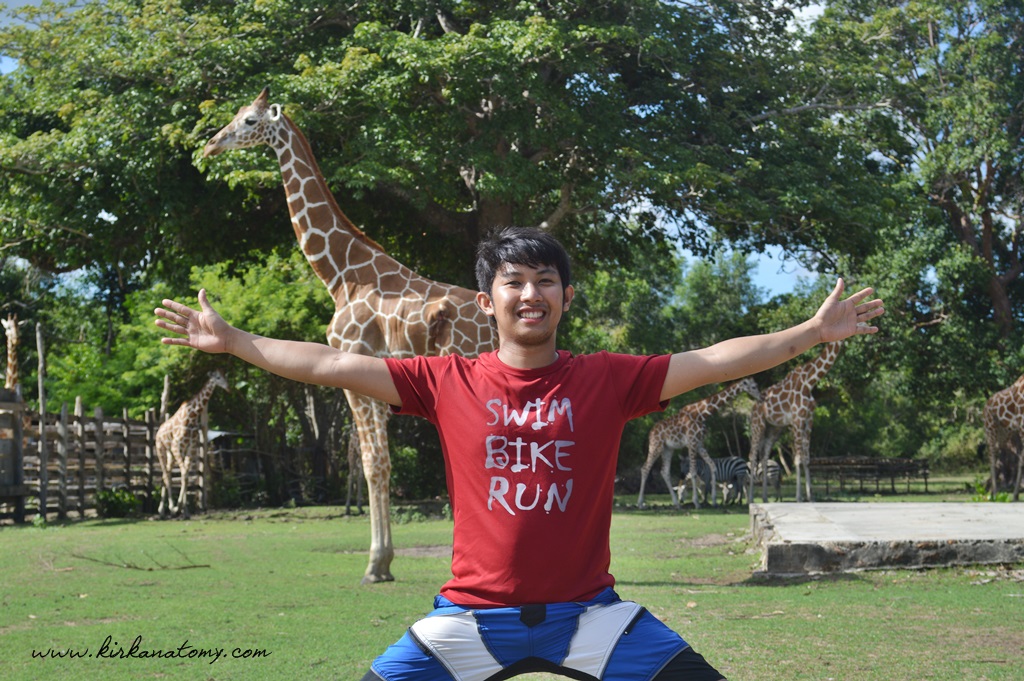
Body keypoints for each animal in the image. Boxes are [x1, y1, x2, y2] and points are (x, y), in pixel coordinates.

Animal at [155, 369, 230, 518]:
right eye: (218, 377)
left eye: (225, 376)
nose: (228, 387)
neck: (193, 416)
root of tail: (158, 431)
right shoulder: (177, 446)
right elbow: (184, 473)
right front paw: (178, 508)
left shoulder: (190, 447)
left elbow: (186, 475)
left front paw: (185, 510)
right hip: (161, 449)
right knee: (166, 475)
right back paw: (166, 509)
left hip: (170, 454)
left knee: (167, 474)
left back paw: (163, 511)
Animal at [202, 88, 497, 583]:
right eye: (236, 115)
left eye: (248, 121)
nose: (211, 145)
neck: (340, 274)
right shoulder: (377, 378)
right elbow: (381, 463)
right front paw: (386, 561)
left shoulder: (353, 367)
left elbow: (372, 463)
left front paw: (375, 565)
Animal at [637, 377, 761, 509]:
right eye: (753, 387)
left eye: (756, 385)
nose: (761, 397)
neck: (701, 414)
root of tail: (651, 433)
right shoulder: (692, 442)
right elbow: (693, 471)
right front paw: (696, 502)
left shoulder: (700, 444)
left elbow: (712, 466)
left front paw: (714, 501)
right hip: (656, 445)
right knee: (645, 468)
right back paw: (640, 504)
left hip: (668, 449)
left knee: (664, 472)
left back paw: (677, 504)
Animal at [748, 341, 842, 503]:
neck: (810, 381)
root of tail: (754, 407)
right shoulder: (797, 419)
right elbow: (798, 458)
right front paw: (799, 497)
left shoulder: (809, 419)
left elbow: (807, 459)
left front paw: (811, 497)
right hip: (758, 425)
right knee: (753, 456)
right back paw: (751, 498)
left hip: (773, 428)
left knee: (765, 455)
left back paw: (765, 498)